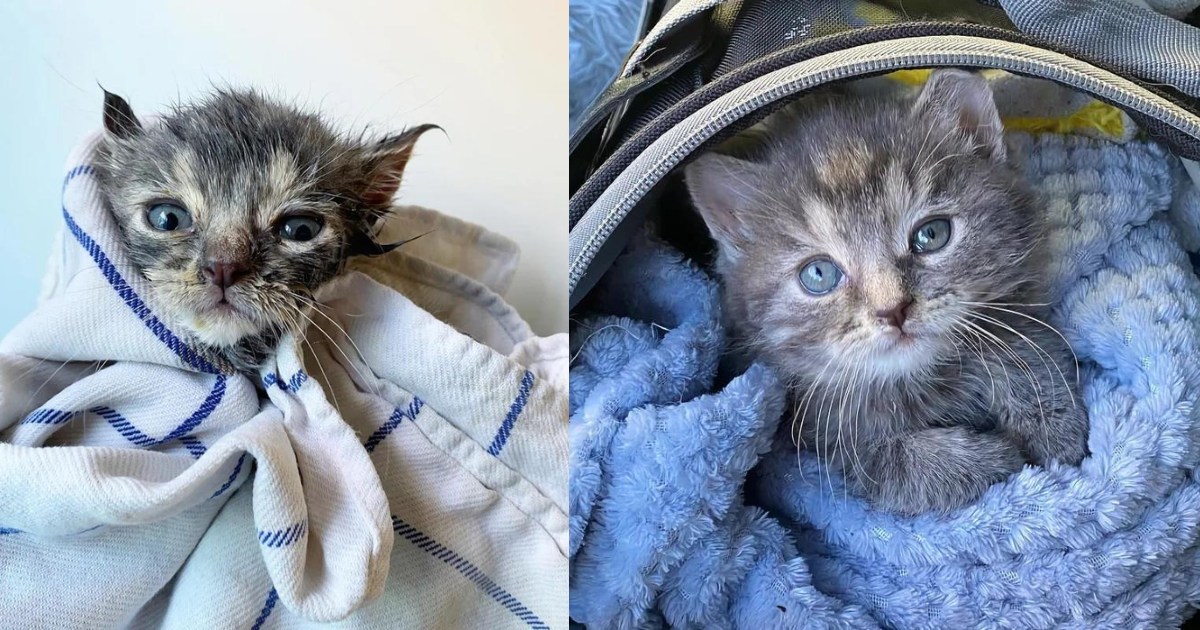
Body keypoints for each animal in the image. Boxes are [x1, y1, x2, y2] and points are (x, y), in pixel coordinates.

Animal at [686, 68, 1089, 516]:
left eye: (932, 234)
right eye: (819, 274)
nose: (893, 309)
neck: (919, 379)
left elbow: (1023, 343)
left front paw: (1051, 424)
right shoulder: (825, 436)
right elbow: (896, 465)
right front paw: (992, 461)